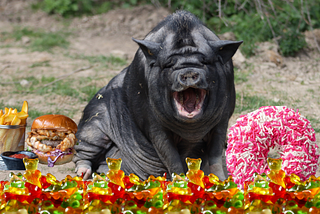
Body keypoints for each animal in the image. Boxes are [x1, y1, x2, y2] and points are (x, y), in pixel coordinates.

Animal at [73, 10, 242, 181]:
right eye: (169, 64)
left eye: (205, 62)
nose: (188, 73)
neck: (191, 131)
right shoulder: (153, 125)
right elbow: (171, 158)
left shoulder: (222, 120)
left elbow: (216, 155)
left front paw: (222, 180)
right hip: (94, 121)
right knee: (82, 151)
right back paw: (83, 174)